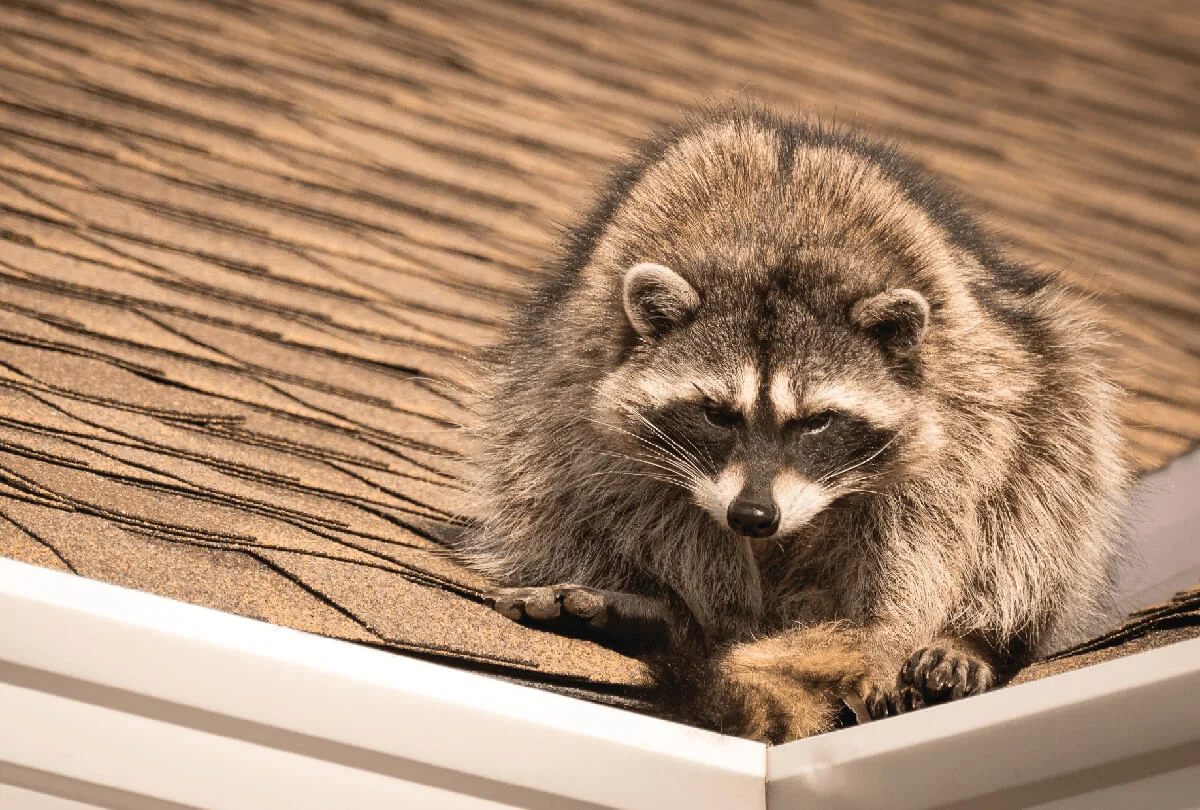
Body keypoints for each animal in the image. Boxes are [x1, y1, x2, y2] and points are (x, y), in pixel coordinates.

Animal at [458, 106, 1129, 743]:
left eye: (817, 422)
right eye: (716, 414)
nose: (754, 516)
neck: (776, 247)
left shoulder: (963, 398)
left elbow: (931, 524)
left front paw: (888, 638)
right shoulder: (586, 374)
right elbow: (632, 494)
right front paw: (710, 615)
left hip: (1044, 375)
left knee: (1046, 480)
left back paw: (973, 636)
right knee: (545, 475)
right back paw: (661, 609)